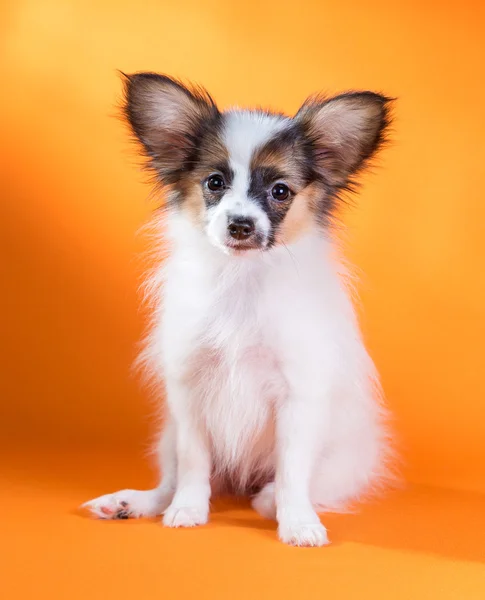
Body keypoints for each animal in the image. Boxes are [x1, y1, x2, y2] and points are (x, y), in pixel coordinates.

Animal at [83, 72, 394, 548]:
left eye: (280, 191)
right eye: (214, 183)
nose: (241, 225)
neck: (241, 280)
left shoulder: (297, 396)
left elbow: (292, 472)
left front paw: (297, 522)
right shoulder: (190, 393)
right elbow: (193, 464)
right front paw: (188, 510)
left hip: (343, 461)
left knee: (289, 486)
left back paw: (267, 500)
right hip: (168, 436)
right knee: (171, 480)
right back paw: (132, 503)